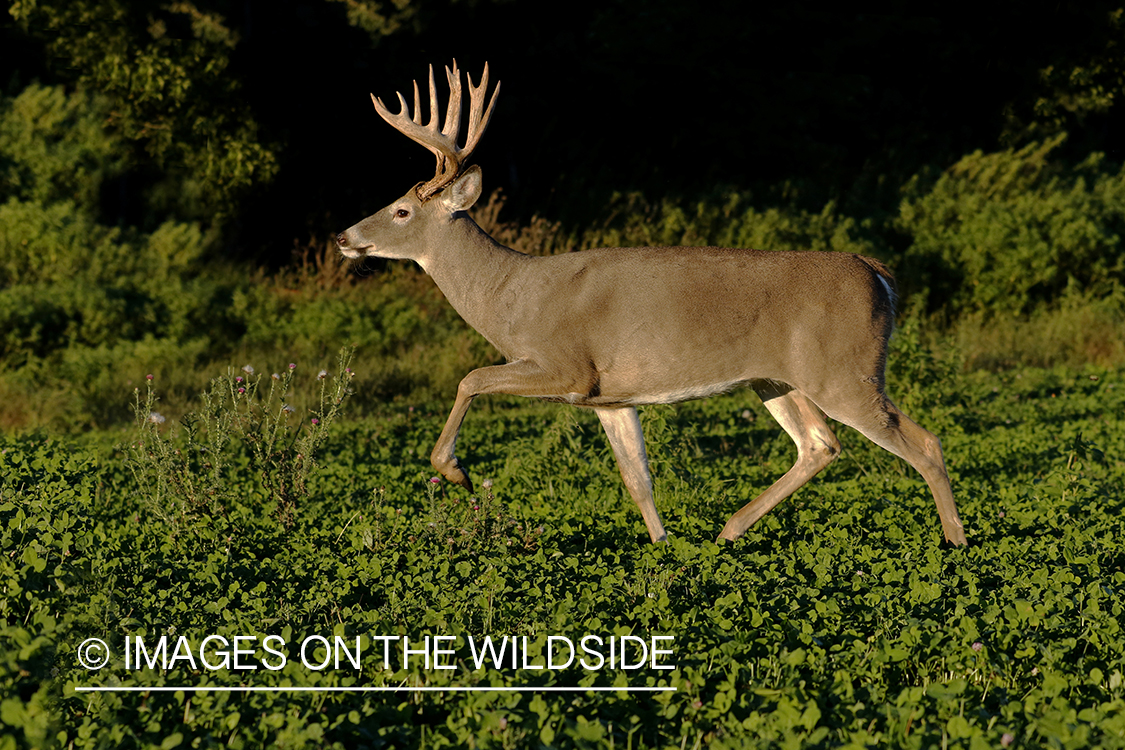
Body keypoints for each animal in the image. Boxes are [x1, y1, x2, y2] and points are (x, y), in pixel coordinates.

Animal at [333, 61, 967, 548]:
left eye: (401, 211)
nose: (343, 236)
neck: (510, 294)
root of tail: (880, 276)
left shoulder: (567, 365)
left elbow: (470, 377)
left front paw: (456, 472)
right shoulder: (610, 397)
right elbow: (637, 477)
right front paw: (663, 550)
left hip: (846, 370)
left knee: (924, 442)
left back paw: (957, 548)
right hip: (777, 378)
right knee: (819, 444)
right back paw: (727, 532)